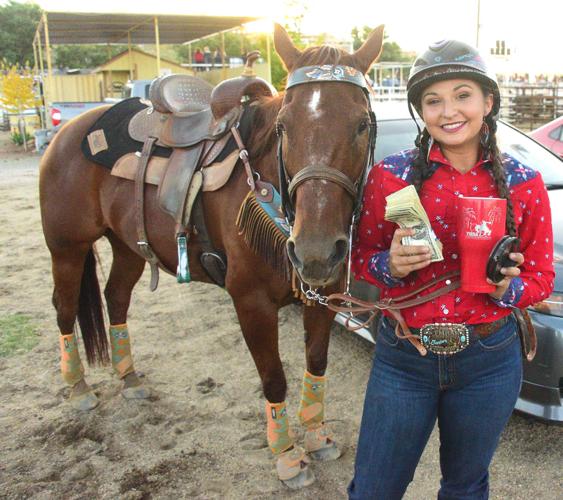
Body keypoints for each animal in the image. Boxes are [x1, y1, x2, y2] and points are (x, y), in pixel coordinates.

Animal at [38, 24, 384, 488]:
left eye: (362, 124)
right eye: (283, 126)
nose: (314, 250)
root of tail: (66, 132)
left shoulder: (322, 297)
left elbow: (316, 363)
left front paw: (316, 435)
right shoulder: (250, 301)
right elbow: (274, 378)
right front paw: (287, 456)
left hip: (128, 246)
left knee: (116, 299)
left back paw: (129, 379)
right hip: (67, 248)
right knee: (63, 308)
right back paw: (78, 387)